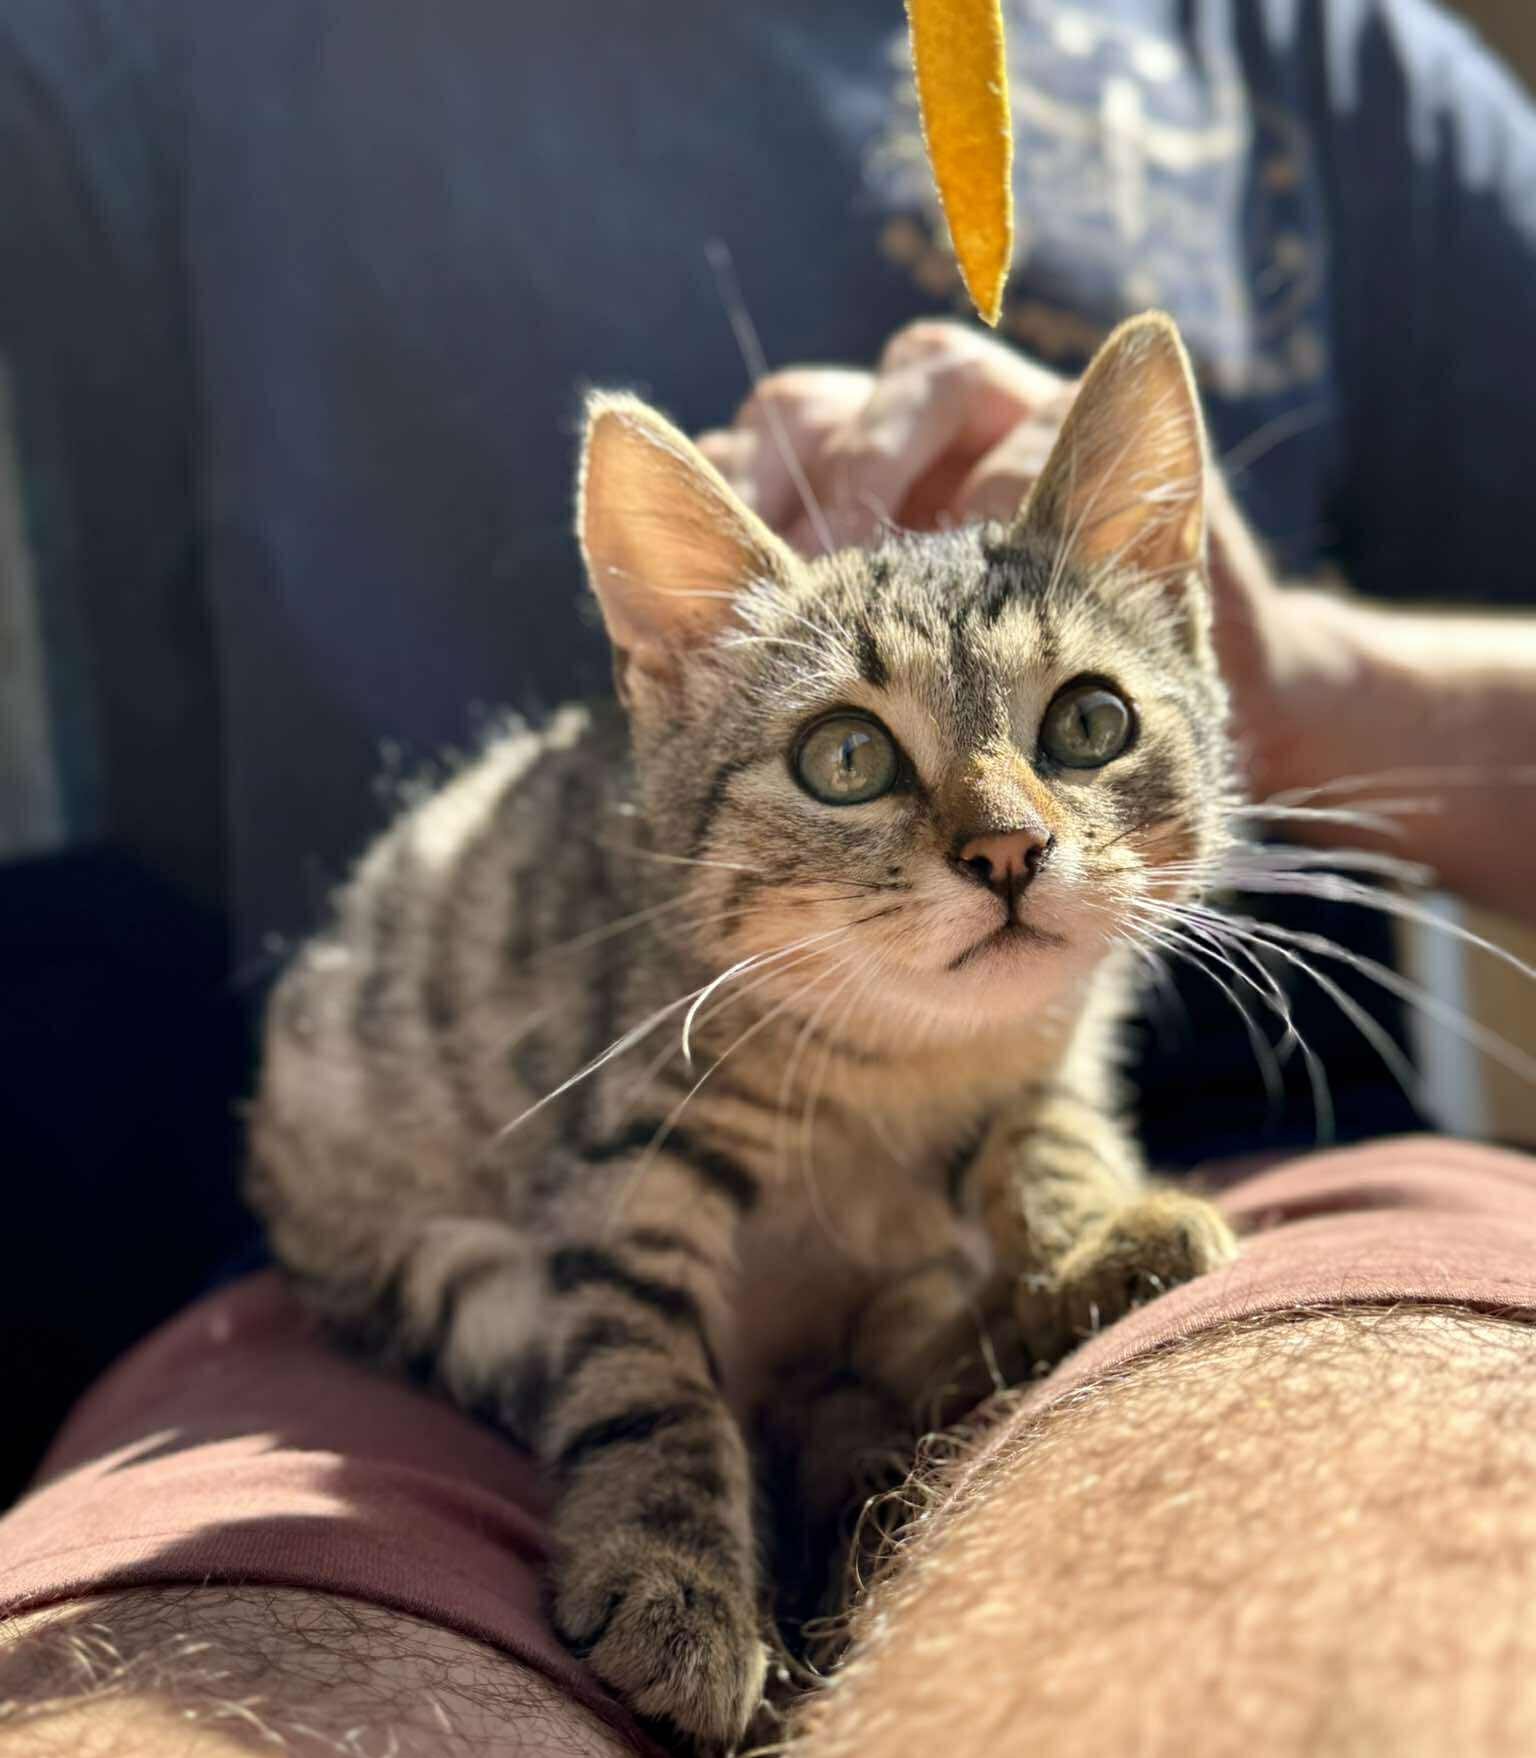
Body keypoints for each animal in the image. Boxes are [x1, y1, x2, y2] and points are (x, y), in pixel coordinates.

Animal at [248, 311, 1239, 1750]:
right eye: (847, 758)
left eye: (1091, 721)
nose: (1009, 848)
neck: (901, 1064)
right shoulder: (627, 1145)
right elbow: (643, 1371)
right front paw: (675, 1583)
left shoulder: (1042, 1060)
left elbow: (1050, 1141)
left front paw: (1090, 1236)